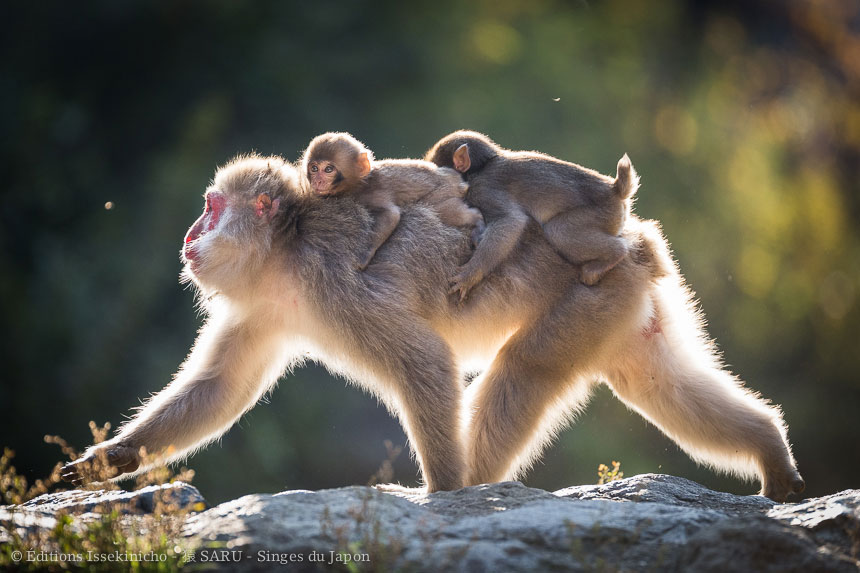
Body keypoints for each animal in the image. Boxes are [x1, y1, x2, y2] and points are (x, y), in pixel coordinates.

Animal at [302, 132, 484, 270]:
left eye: (328, 169)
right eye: (314, 168)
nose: (317, 181)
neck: (360, 182)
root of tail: (455, 178)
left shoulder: (370, 193)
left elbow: (391, 215)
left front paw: (365, 254)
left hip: (444, 191)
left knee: (442, 209)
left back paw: (477, 219)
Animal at [426, 130, 636, 286]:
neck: (482, 167)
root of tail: (615, 190)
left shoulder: (484, 189)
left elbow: (511, 221)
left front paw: (471, 274)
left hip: (601, 214)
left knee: (559, 231)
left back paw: (614, 255)